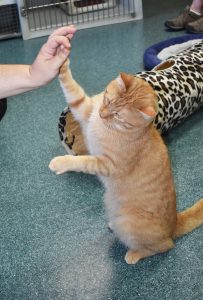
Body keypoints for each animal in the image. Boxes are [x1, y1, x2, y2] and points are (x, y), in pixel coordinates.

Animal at [48, 59, 203, 264]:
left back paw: (135, 254)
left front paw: (60, 163)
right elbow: (71, 88)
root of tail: (174, 224)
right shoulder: (85, 108)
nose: (102, 114)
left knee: (165, 246)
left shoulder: (106, 164)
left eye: (118, 116)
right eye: (107, 100)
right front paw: (61, 60)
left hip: (130, 224)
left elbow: (81, 161)